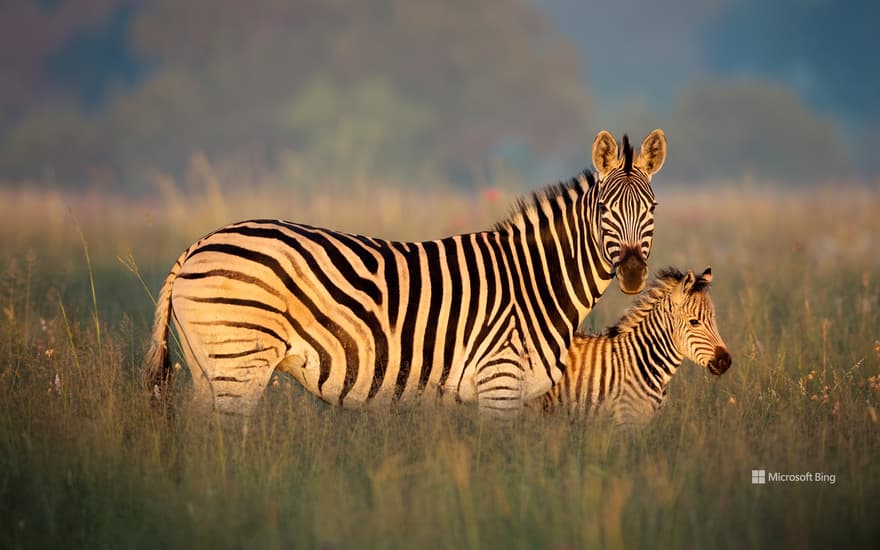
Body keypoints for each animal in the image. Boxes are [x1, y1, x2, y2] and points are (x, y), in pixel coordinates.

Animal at [144, 130, 668, 418]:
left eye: (652, 209)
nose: (633, 273)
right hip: (239, 359)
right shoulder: (500, 382)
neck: (535, 281)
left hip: (207, 367)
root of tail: (196, 245)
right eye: (604, 210)